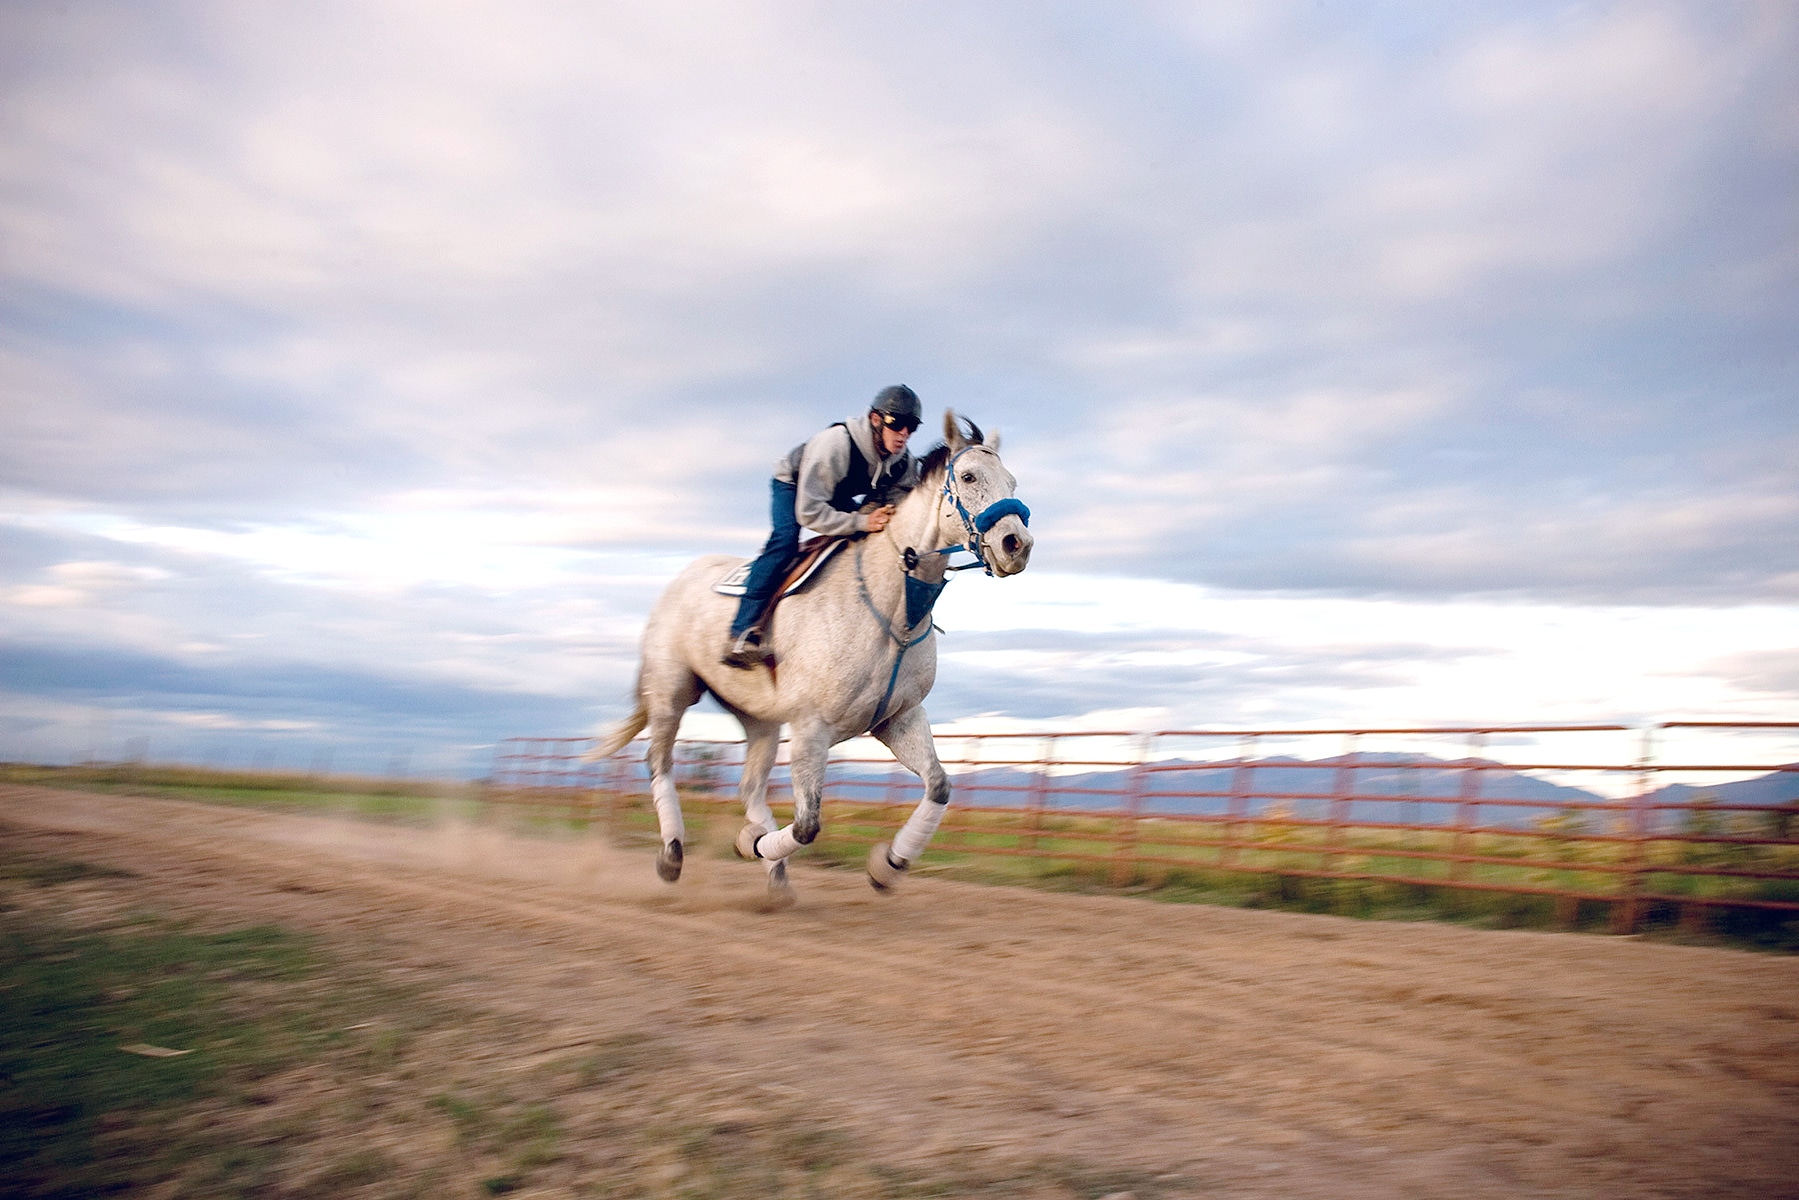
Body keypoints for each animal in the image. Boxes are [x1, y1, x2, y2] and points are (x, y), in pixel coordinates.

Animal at [593, 413, 1029, 899]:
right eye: (969, 477)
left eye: (1011, 480)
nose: (1017, 544)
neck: (891, 609)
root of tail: (682, 578)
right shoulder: (811, 729)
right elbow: (806, 825)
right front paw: (754, 845)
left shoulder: (899, 718)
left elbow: (938, 786)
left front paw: (888, 865)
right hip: (672, 692)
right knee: (661, 764)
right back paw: (674, 853)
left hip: (759, 720)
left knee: (749, 787)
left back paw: (772, 871)